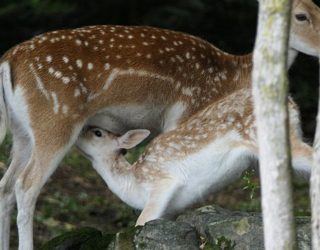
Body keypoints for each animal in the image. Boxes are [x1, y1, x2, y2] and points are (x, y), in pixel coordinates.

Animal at [77, 88, 312, 227]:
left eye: (97, 132)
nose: (79, 131)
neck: (132, 184)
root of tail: (290, 101)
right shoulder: (169, 210)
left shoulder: (163, 181)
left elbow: (140, 222)